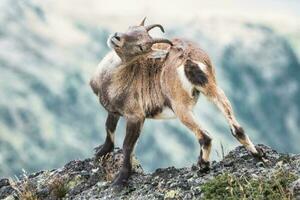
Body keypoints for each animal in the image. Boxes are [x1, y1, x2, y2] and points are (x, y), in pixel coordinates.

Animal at [89, 18, 264, 186]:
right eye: (131, 27)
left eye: (141, 47)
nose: (116, 37)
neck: (111, 78)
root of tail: (189, 61)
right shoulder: (114, 111)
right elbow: (109, 127)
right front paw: (101, 153)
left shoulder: (135, 115)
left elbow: (127, 146)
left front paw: (120, 181)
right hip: (212, 88)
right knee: (236, 128)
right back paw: (257, 155)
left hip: (179, 106)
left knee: (205, 136)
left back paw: (203, 166)